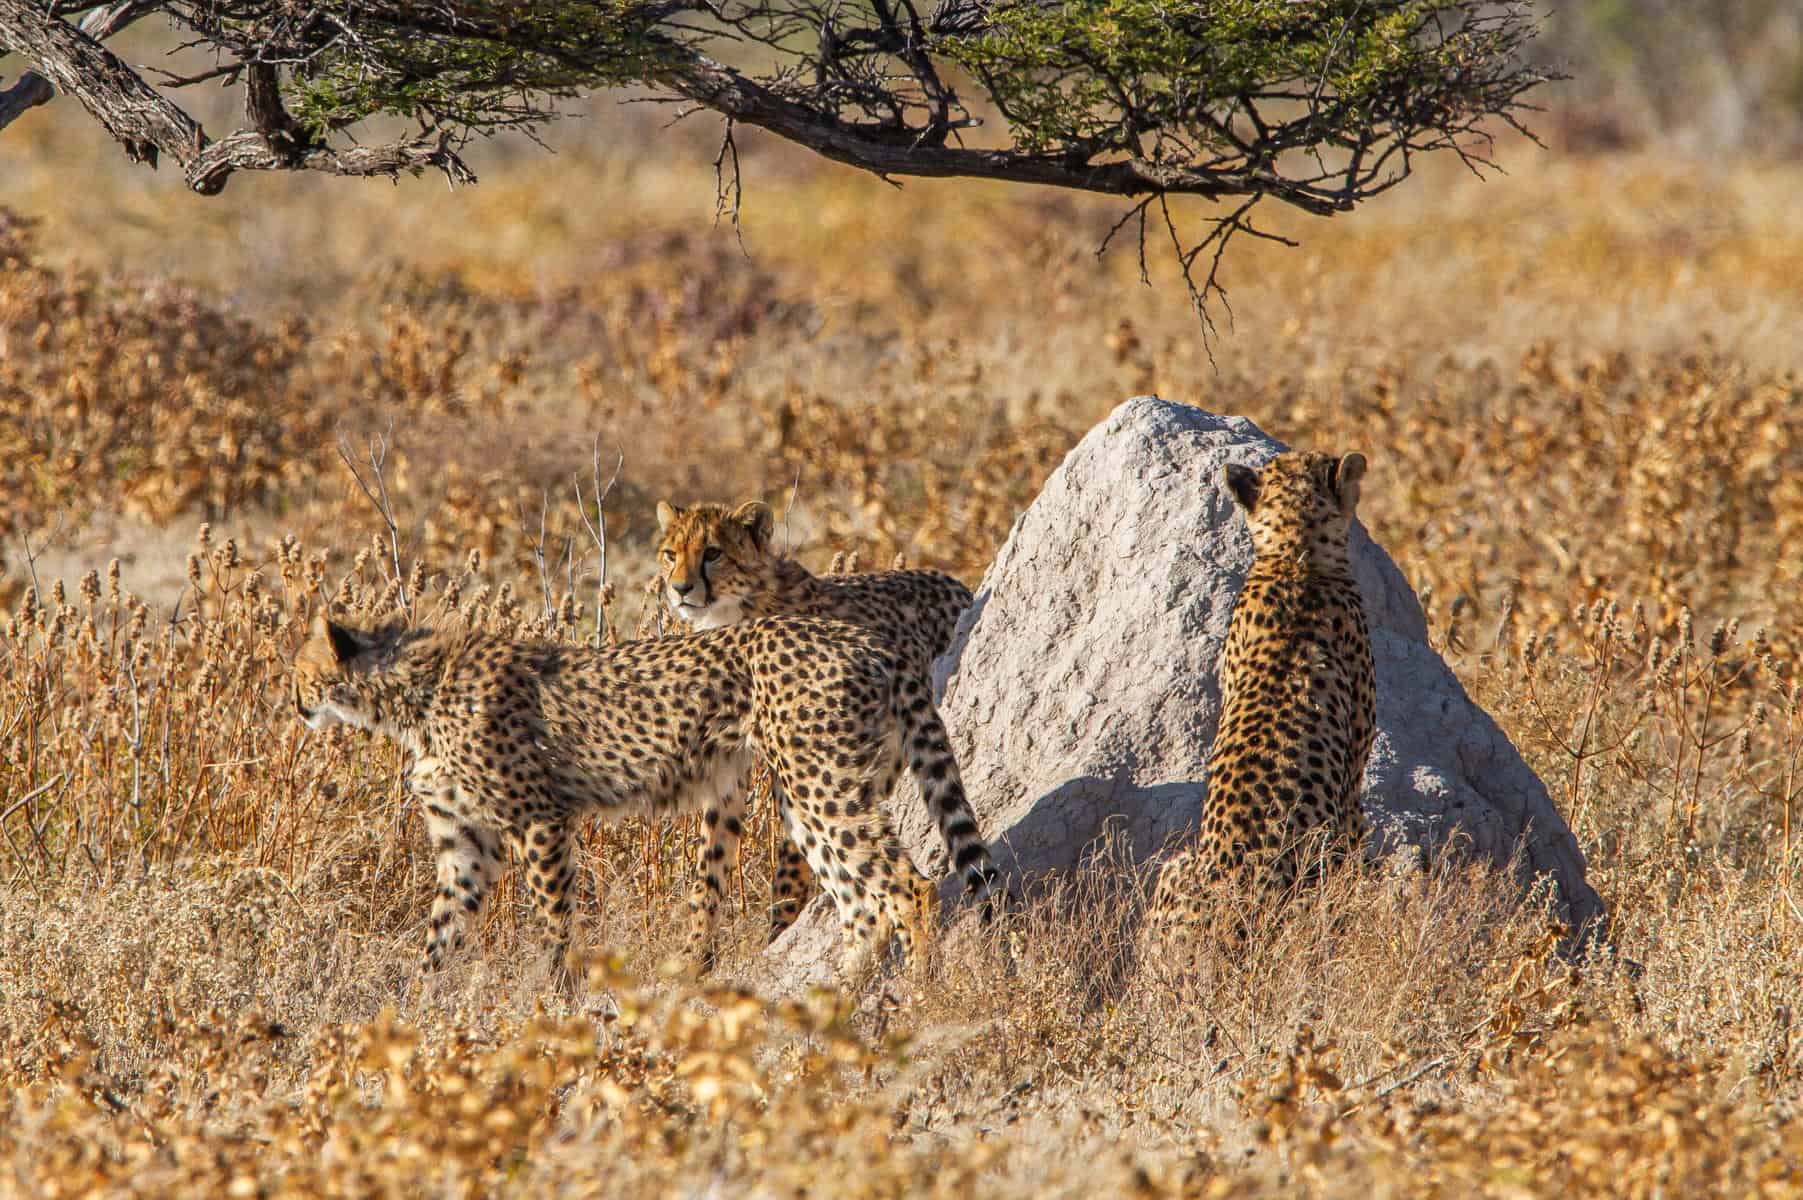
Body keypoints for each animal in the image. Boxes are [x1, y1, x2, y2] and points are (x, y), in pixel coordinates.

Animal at [290, 611, 959, 989]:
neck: (412, 694)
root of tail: (865, 637)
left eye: (301, 673)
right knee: (861, 902)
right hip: (810, 794)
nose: (294, 704)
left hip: (820, 782)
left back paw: (919, 994)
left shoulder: (539, 820)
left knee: (909, 888)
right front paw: (414, 1007)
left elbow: (556, 919)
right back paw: (832, 1000)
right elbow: (442, 932)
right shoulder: (467, 845)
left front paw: (560, 992)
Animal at [654, 498, 996, 940]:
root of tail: (953, 582)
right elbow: (710, 859)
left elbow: (790, 861)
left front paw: (778, 927)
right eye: (670, 554)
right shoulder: (730, 766)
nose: (680, 589)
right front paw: (697, 948)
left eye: (712, 553)